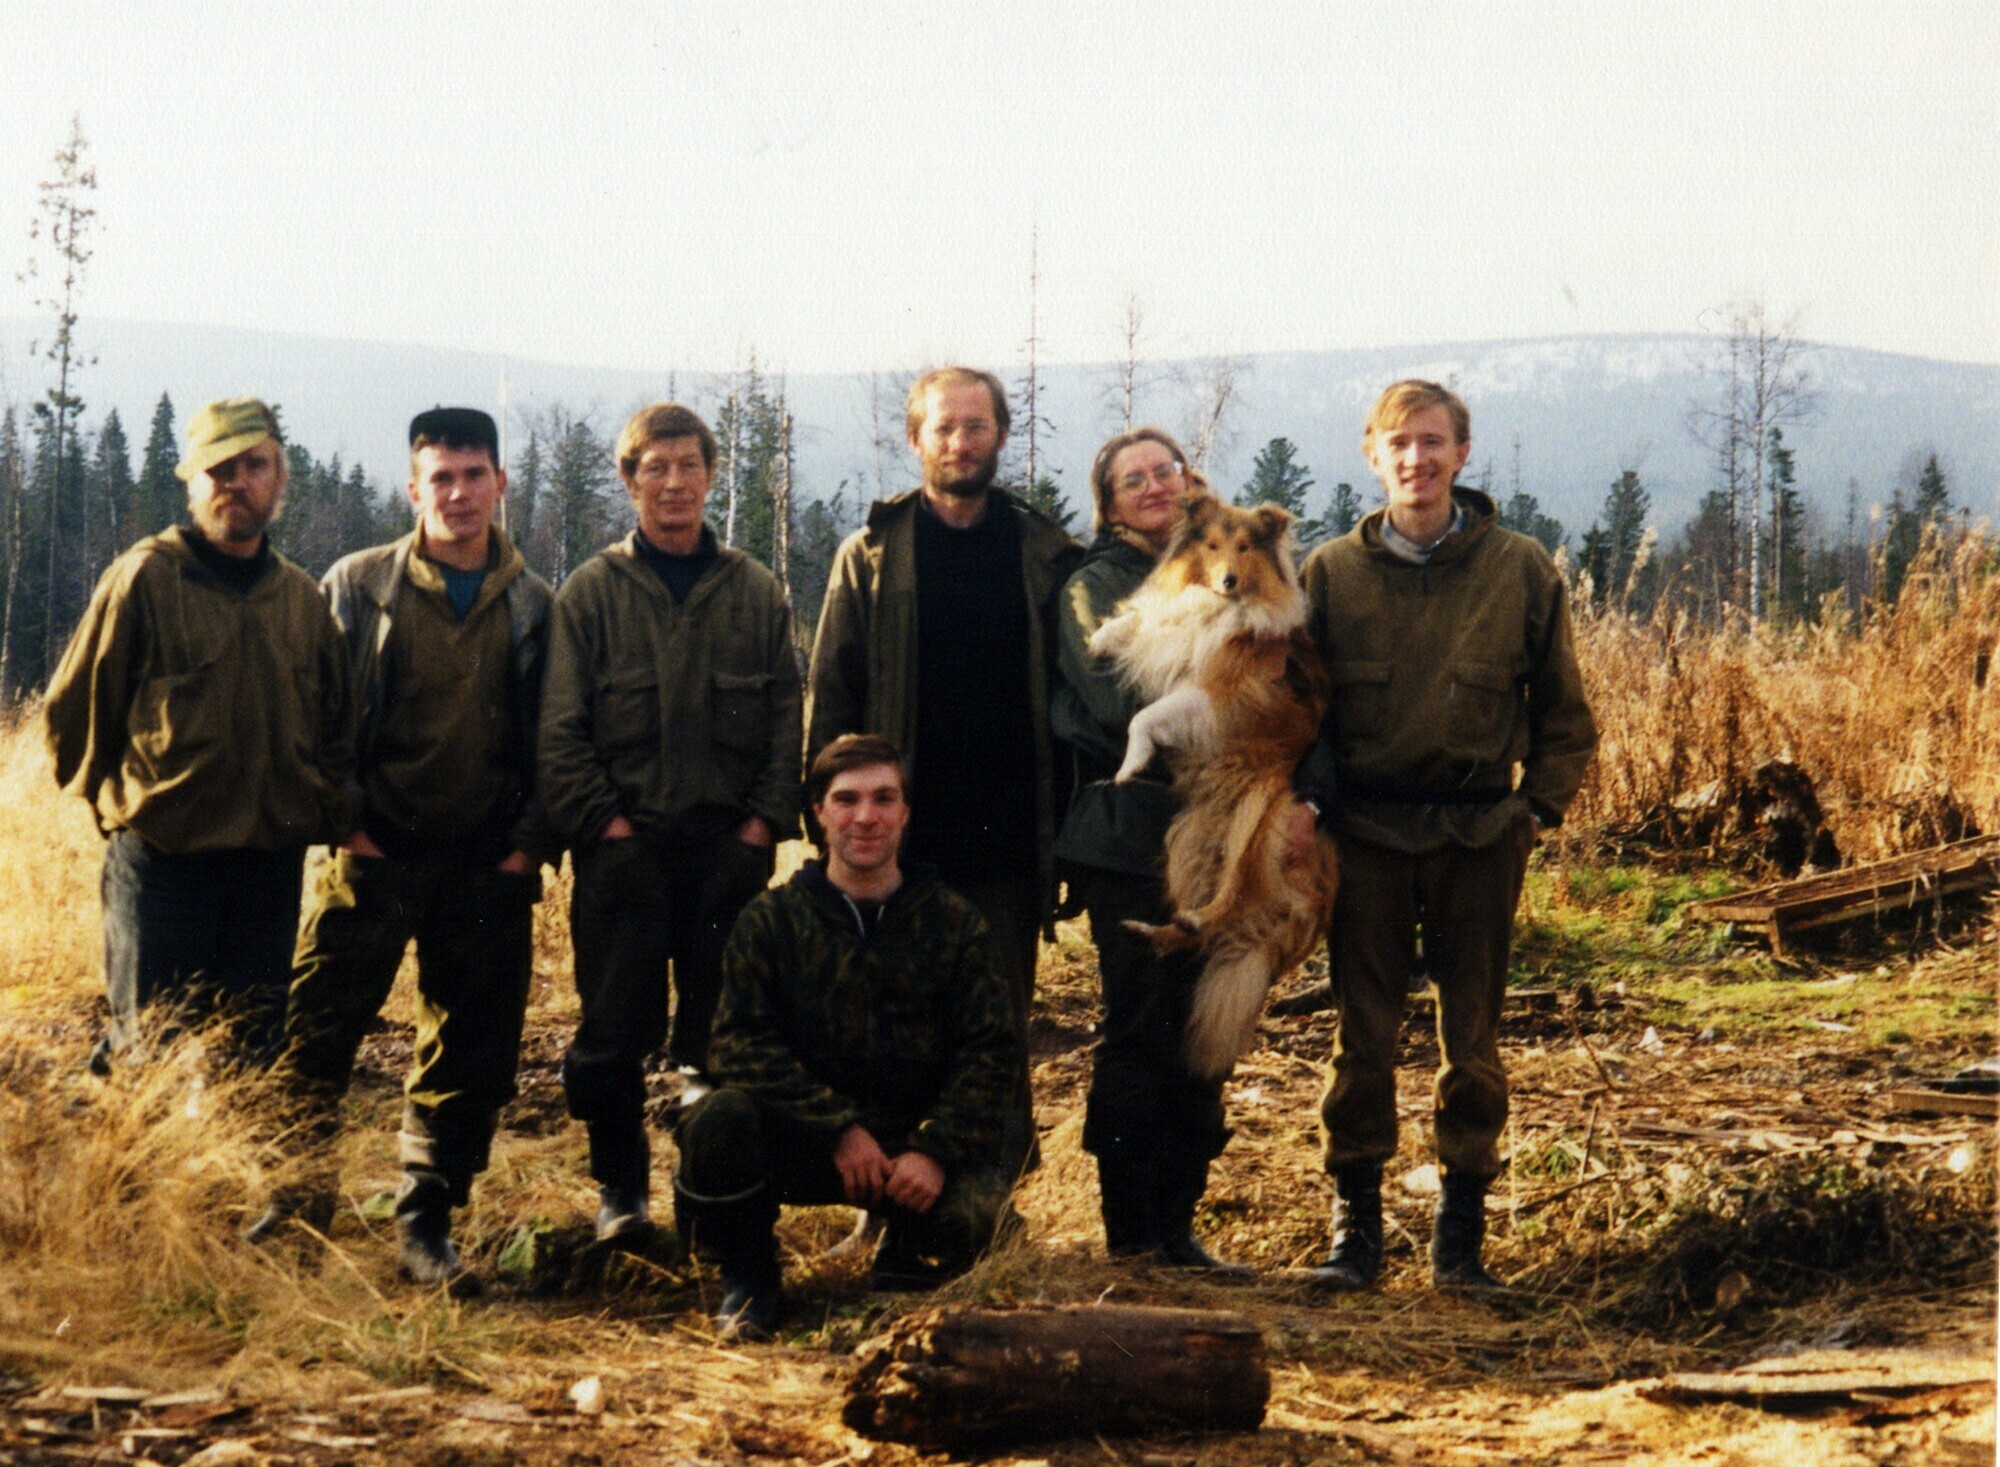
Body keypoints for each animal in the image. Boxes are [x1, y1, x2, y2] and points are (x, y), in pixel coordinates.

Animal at [1088, 493, 1336, 1079]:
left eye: (1245, 548)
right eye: (1214, 544)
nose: (1227, 580)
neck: (1215, 605)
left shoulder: (1214, 692)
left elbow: (1146, 717)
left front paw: (1130, 765)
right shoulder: (1173, 635)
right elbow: (1142, 623)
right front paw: (1102, 635)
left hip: (1258, 821)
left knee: (1229, 900)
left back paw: (1190, 918)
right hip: (1199, 838)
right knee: (1196, 926)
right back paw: (1147, 929)